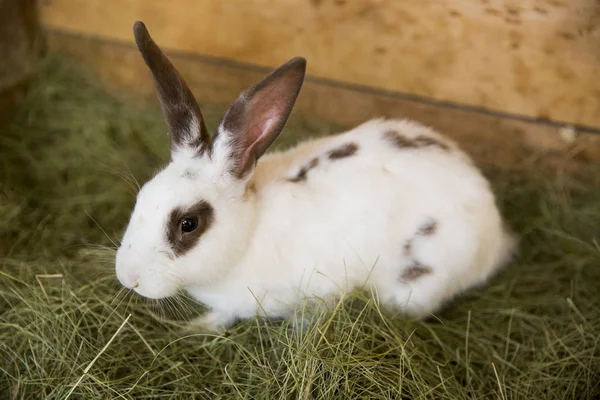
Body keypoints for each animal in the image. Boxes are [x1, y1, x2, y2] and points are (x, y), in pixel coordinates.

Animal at [116, 21, 516, 332]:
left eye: (189, 224)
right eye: (141, 198)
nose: (128, 278)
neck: (249, 233)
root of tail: (497, 233)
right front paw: (195, 327)